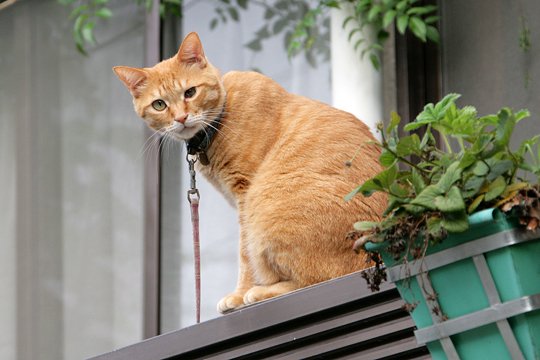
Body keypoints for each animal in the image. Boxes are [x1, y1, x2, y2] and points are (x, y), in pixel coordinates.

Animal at [114, 31, 384, 312]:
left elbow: (245, 255)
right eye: (159, 104)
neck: (220, 120)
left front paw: (238, 294)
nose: (180, 118)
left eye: (190, 92)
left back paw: (259, 292)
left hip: (264, 207)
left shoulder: (245, 193)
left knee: (319, 279)